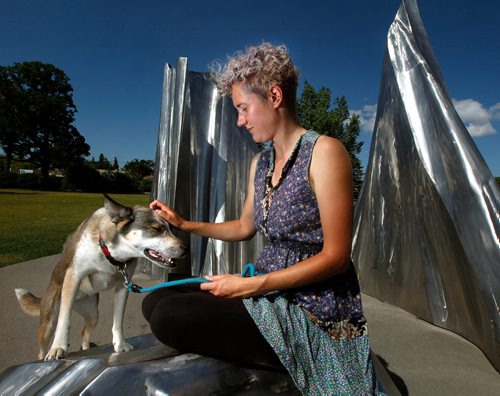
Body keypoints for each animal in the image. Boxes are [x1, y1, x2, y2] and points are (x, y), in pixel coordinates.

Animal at [14, 193, 186, 360]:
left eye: (171, 229)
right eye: (158, 229)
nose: (185, 249)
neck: (110, 253)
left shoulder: (123, 285)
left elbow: (118, 319)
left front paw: (120, 344)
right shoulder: (74, 275)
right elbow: (65, 320)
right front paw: (58, 348)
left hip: (92, 314)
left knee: (84, 334)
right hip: (49, 319)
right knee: (42, 348)